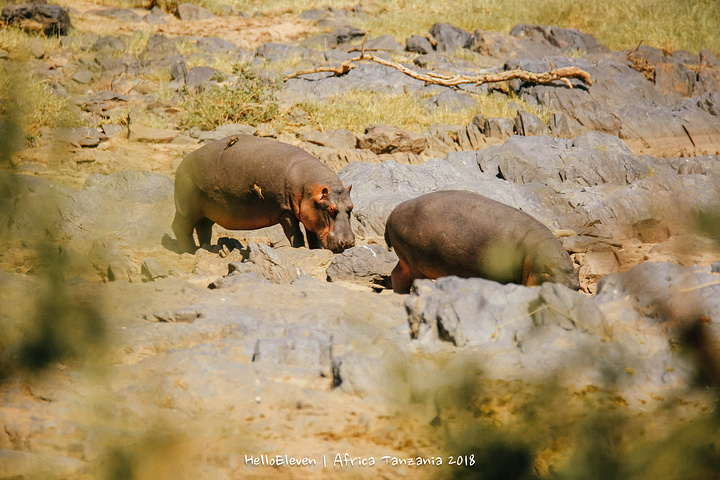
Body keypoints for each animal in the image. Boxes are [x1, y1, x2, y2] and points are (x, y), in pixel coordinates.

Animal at [172, 134, 358, 253]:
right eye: (331, 208)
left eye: (351, 207)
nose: (347, 243)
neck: (309, 189)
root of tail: (182, 163)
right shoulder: (285, 212)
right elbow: (295, 234)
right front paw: (299, 249)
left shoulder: (309, 215)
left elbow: (312, 236)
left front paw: (315, 250)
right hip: (186, 209)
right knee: (180, 228)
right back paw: (189, 251)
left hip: (207, 212)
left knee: (203, 229)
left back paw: (208, 248)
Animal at [382, 190, 580, 292]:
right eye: (547, 272)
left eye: (575, 273)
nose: (573, 286)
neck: (532, 257)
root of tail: (391, 213)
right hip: (416, 264)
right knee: (413, 278)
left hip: (405, 259)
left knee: (397, 274)